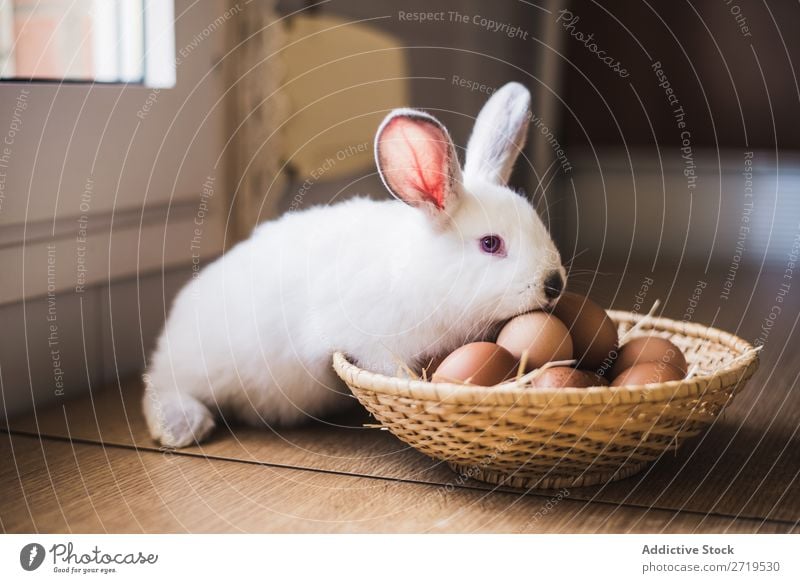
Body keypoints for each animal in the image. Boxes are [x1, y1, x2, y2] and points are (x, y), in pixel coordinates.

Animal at [145, 81, 568, 448]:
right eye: (490, 244)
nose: (553, 284)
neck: (423, 270)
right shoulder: (374, 344)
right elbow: (394, 371)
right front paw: (415, 384)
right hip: (200, 370)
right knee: (161, 388)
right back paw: (184, 426)